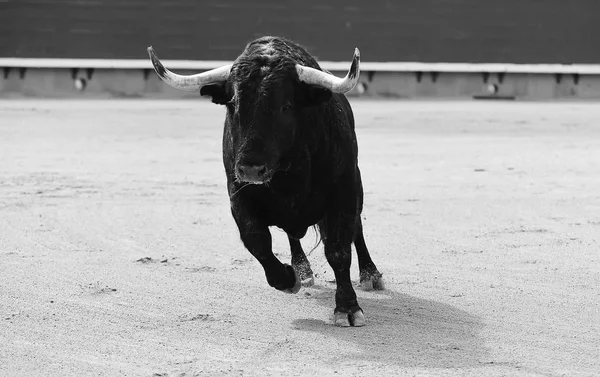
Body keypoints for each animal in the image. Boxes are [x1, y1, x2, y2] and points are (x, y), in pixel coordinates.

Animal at [149, 37, 384, 326]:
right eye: (233, 103)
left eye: (286, 106)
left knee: (357, 231)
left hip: (356, 189)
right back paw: (302, 270)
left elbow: (339, 250)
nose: (250, 169)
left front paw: (348, 308)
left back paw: (370, 275)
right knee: (292, 236)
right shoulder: (238, 194)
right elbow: (257, 240)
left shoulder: (344, 191)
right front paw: (289, 278)